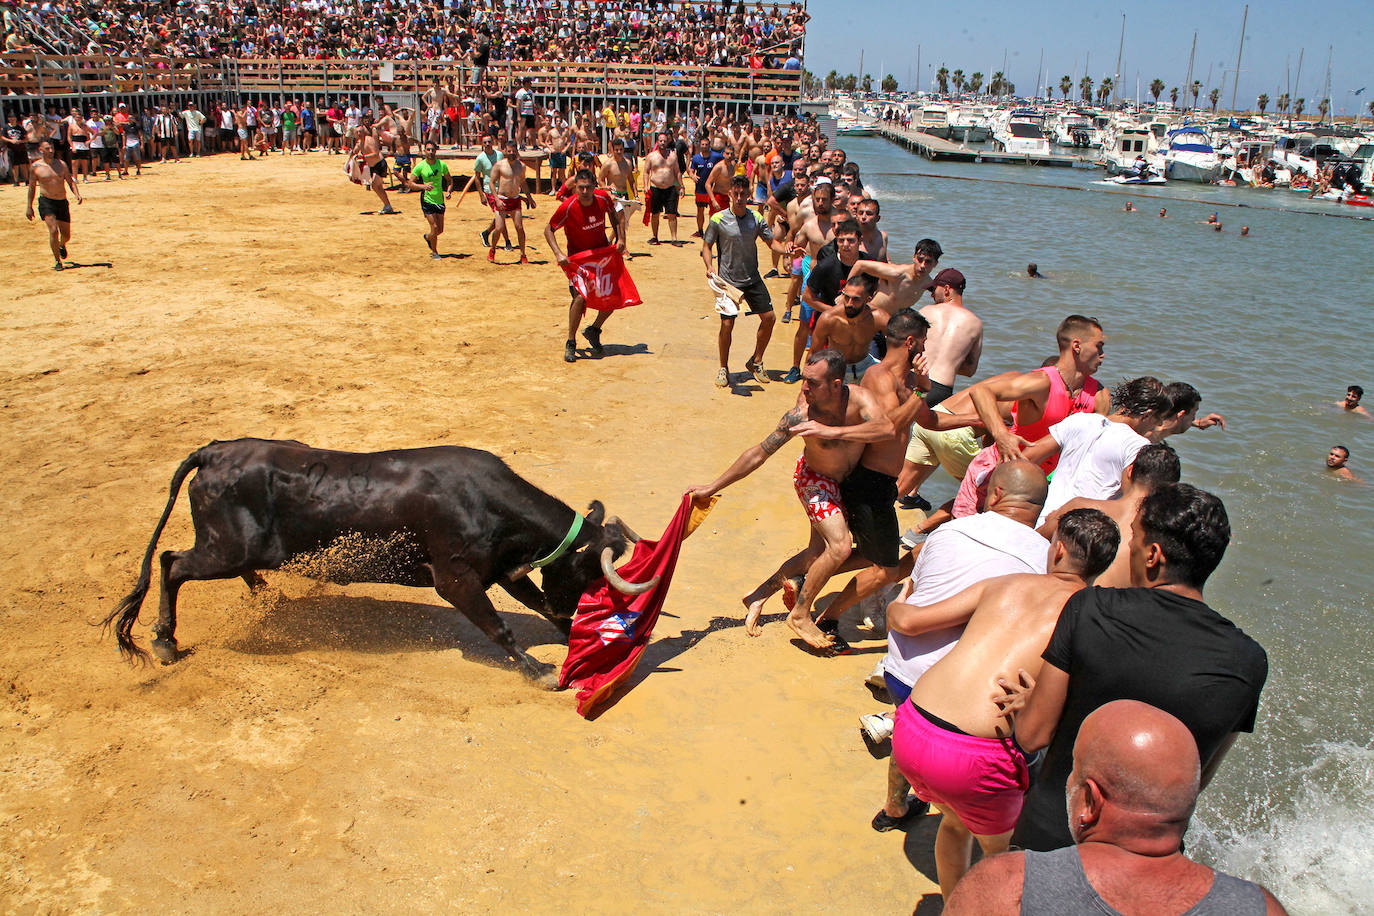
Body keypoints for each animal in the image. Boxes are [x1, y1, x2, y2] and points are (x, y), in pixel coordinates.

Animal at [107, 439, 659, 686]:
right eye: (588, 570)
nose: (577, 605)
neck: (486, 501)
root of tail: (215, 451)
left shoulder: (503, 569)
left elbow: (539, 605)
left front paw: (573, 636)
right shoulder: (456, 580)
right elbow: (500, 628)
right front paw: (539, 670)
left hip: (240, 547)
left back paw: (266, 594)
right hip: (225, 548)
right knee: (172, 562)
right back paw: (165, 641)